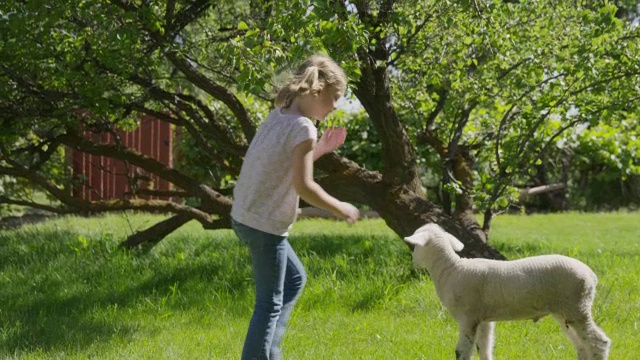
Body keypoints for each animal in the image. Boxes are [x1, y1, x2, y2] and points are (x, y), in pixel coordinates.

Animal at [404, 224, 608, 358]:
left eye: (415, 246)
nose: (413, 261)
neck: (451, 269)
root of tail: (592, 276)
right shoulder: (483, 319)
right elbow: (484, 348)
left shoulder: (467, 317)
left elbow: (462, 351)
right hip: (565, 311)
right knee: (582, 345)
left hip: (577, 306)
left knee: (598, 343)